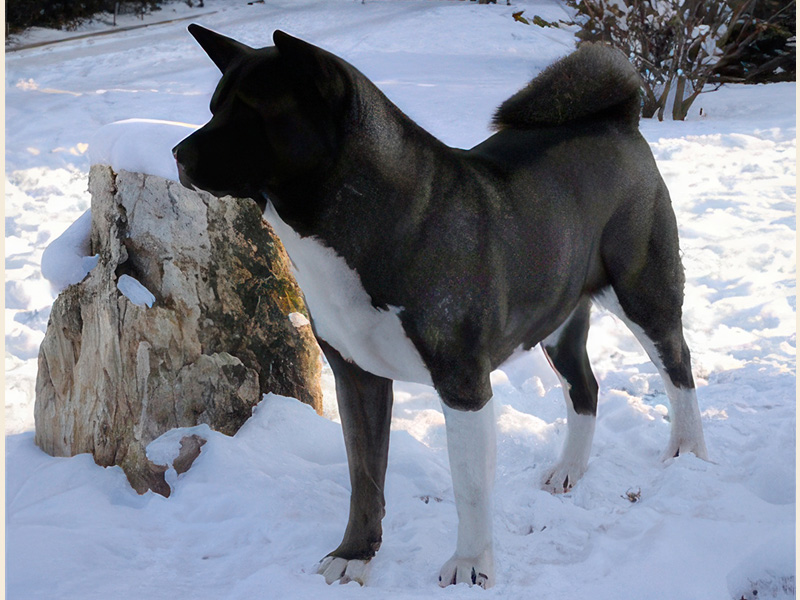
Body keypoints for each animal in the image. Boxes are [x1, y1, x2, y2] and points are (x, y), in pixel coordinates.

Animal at [173, 25, 708, 589]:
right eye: (215, 106)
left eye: (253, 110)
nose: (178, 154)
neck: (374, 215)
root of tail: (615, 119)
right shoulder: (356, 377)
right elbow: (364, 477)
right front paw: (354, 555)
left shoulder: (463, 382)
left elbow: (469, 487)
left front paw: (472, 565)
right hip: (557, 314)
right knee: (584, 387)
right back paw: (569, 470)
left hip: (642, 290)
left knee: (678, 365)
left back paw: (688, 452)